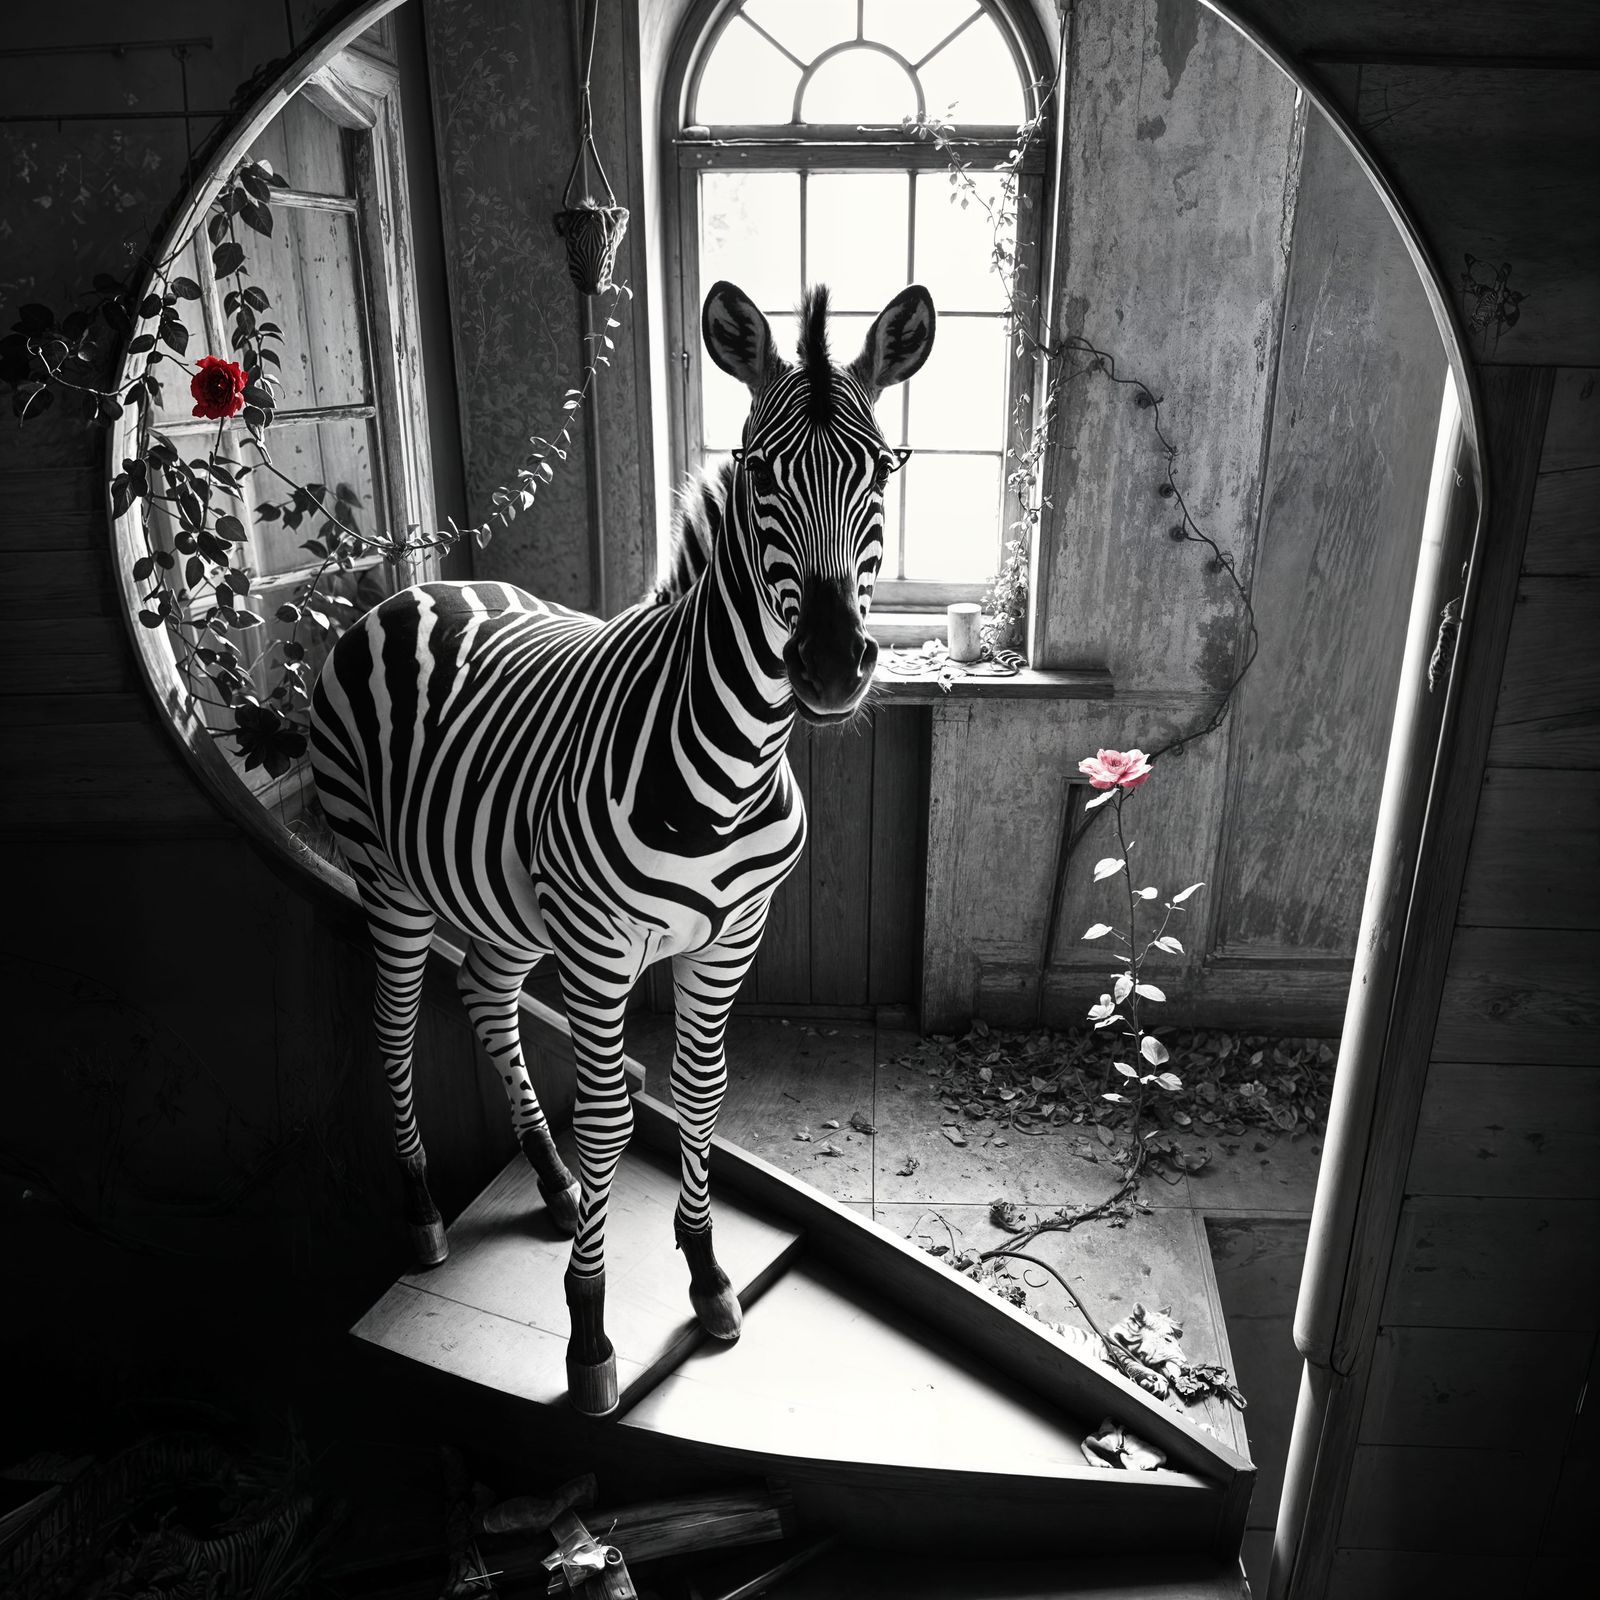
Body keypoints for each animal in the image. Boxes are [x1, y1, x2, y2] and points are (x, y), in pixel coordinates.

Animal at [309, 279, 935, 1415]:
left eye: (881, 469)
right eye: (760, 472)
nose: (828, 664)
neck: (733, 760)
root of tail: (418, 588)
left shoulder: (733, 936)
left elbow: (700, 1091)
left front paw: (707, 1275)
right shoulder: (602, 952)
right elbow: (610, 1117)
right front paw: (590, 1332)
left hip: (504, 898)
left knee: (486, 998)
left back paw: (552, 1182)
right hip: (392, 883)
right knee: (394, 1028)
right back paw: (422, 1209)